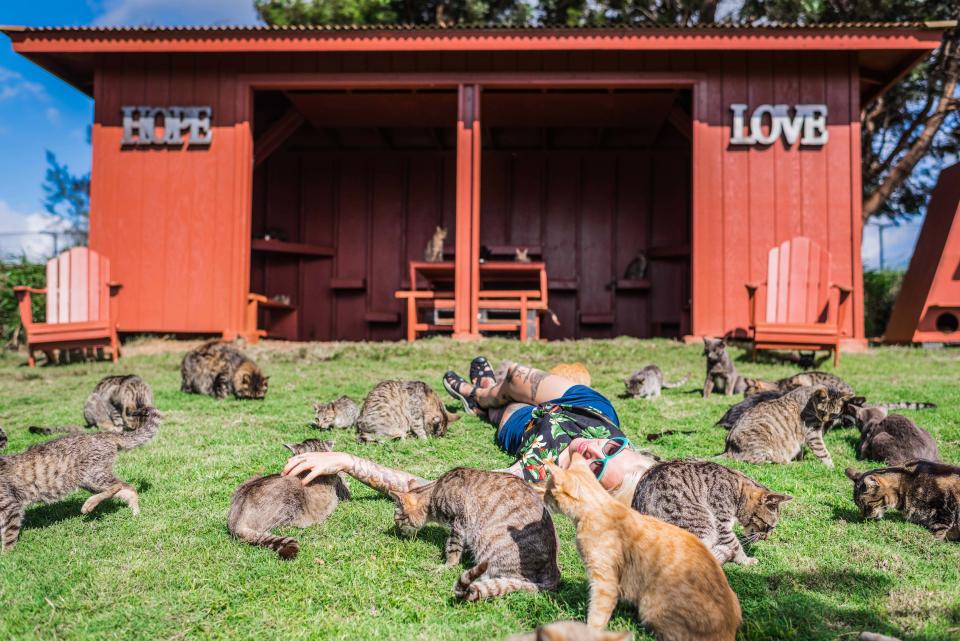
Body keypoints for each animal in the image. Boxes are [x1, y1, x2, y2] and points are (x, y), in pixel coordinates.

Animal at [0, 404, 159, 552]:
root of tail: (103, 434)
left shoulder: (10, 507)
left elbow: (9, 536)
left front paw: (8, 556)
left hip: (94, 475)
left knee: (118, 485)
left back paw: (89, 505)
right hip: (91, 481)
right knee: (128, 488)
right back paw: (135, 511)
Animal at [388, 464, 560, 600]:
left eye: (397, 521)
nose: (397, 532)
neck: (433, 492)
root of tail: (554, 570)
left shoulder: (458, 523)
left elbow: (453, 549)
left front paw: (446, 566)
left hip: (488, 543)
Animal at [540, 456, 744, 636]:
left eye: (548, 491)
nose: (542, 500)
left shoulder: (604, 580)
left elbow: (597, 613)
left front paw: (588, 631)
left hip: (651, 606)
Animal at [632, 460, 788, 564]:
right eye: (769, 527)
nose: (766, 537)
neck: (739, 488)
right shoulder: (721, 522)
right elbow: (735, 544)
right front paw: (745, 560)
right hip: (705, 523)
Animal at [724, 382, 852, 468]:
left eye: (833, 414)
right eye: (823, 411)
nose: (824, 420)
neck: (810, 401)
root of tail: (728, 449)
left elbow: (801, 451)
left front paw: (800, 459)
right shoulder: (813, 433)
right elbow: (823, 452)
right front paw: (831, 467)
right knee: (756, 460)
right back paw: (788, 462)